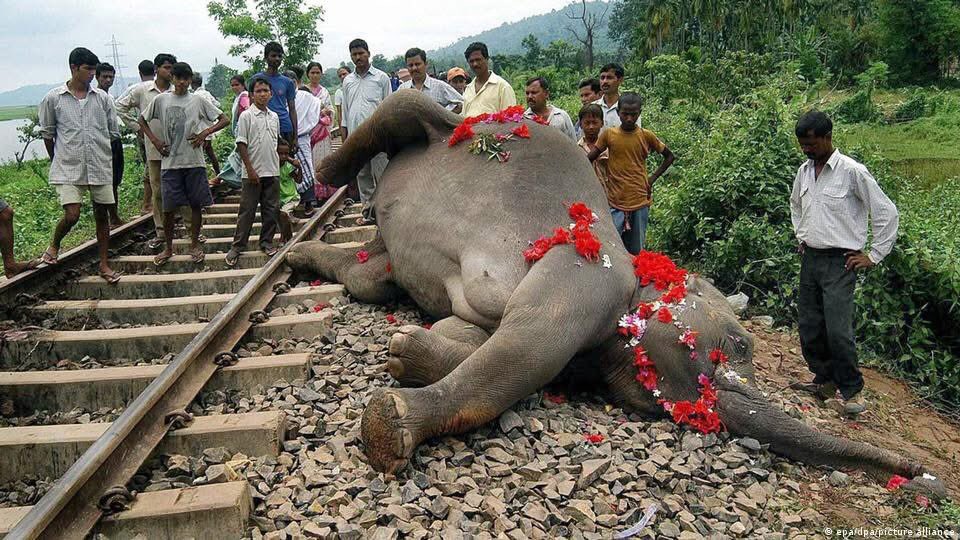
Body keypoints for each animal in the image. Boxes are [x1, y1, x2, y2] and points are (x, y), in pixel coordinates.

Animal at [286, 89, 946, 497]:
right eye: (740, 345)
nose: (924, 477)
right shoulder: (591, 273)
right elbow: (525, 348)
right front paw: (388, 425)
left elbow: (490, 343)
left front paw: (406, 354)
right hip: (455, 127)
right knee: (412, 110)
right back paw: (322, 179)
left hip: (386, 253)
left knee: (371, 272)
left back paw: (299, 254)